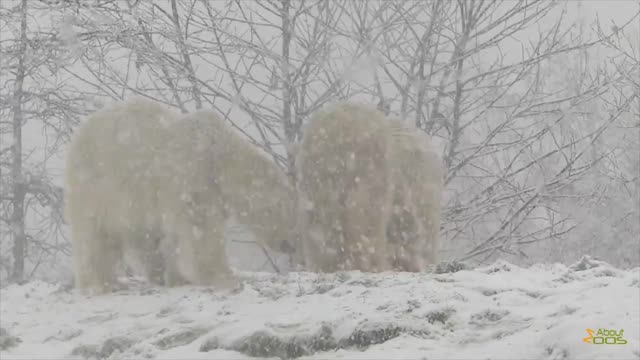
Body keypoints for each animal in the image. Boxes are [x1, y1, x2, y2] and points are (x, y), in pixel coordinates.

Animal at [65, 97, 296, 294]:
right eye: (283, 210)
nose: (290, 244)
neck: (218, 154)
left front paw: (178, 279)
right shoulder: (192, 179)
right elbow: (200, 232)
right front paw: (225, 278)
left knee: (142, 237)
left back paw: (153, 274)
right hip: (97, 186)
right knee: (94, 235)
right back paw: (101, 284)